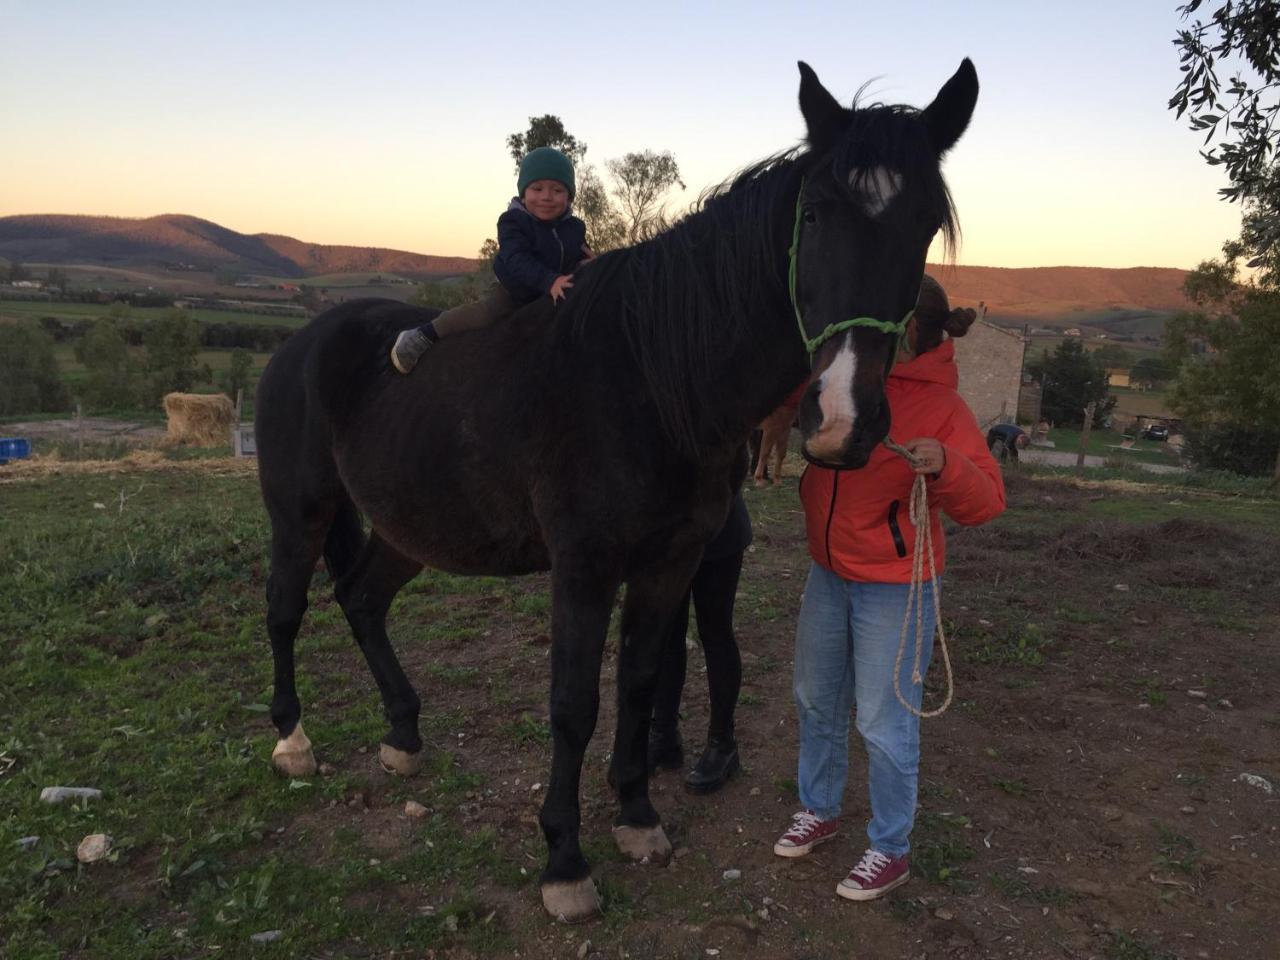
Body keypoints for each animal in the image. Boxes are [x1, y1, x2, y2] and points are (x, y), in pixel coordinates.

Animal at [257, 60, 977, 926]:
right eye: (816, 213)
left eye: (924, 225)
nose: (845, 420)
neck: (649, 375)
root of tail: (303, 341)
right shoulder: (585, 567)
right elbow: (575, 705)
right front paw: (565, 864)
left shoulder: (670, 563)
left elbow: (638, 683)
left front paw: (637, 818)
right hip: (298, 512)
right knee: (286, 610)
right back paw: (293, 744)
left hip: (408, 529)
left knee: (362, 600)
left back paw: (402, 737)